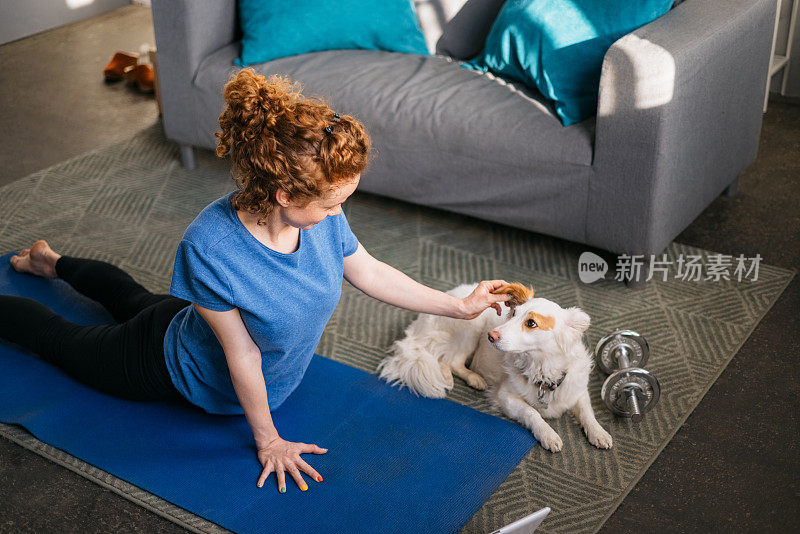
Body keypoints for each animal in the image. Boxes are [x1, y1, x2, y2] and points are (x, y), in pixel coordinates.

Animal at [380, 282, 612, 454]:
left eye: (531, 323)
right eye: (514, 313)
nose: (491, 335)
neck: (542, 372)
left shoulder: (577, 389)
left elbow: (587, 411)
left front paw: (598, 432)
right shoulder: (505, 397)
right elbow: (532, 413)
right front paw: (548, 434)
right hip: (472, 325)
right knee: (451, 360)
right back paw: (468, 378)